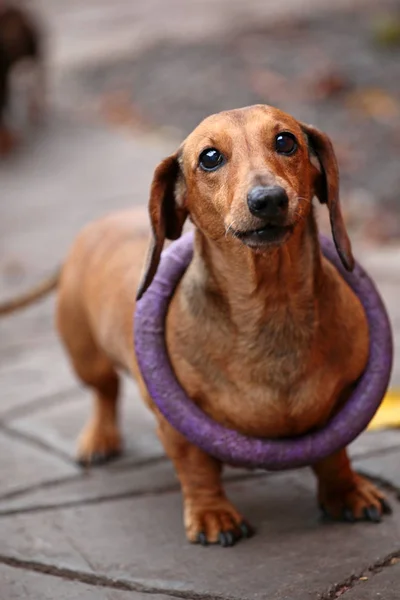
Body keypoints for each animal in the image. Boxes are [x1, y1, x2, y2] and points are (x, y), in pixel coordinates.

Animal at [53, 105, 390, 548]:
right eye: (210, 157)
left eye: (286, 141)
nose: (269, 200)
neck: (272, 307)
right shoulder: (175, 424)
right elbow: (196, 467)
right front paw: (212, 514)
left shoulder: (343, 403)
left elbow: (333, 451)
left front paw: (346, 492)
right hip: (85, 355)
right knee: (104, 392)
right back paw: (99, 439)